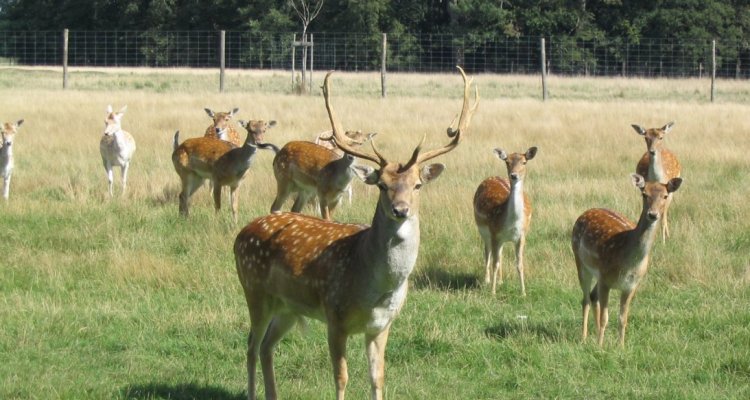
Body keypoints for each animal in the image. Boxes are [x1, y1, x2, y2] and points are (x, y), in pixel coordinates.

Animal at [476, 145, 540, 296]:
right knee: (488, 253)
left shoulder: (522, 236)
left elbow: (519, 264)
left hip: (501, 239)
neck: (512, 224)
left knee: (500, 254)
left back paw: (500, 281)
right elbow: (495, 263)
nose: (514, 175)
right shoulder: (494, 233)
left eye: (524, 162)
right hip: (484, 232)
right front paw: (493, 293)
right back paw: (487, 281)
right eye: (507, 162)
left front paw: (523, 293)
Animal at [572, 173, 684, 346]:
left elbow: (622, 319)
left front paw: (621, 346)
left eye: (665, 196)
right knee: (585, 299)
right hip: (580, 260)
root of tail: (584, 213)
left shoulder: (631, 285)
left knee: (592, 296)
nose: (653, 214)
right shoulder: (605, 279)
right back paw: (584, 338)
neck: (629, 264)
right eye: (644, 194)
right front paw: (600, 346)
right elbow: (605, 318)